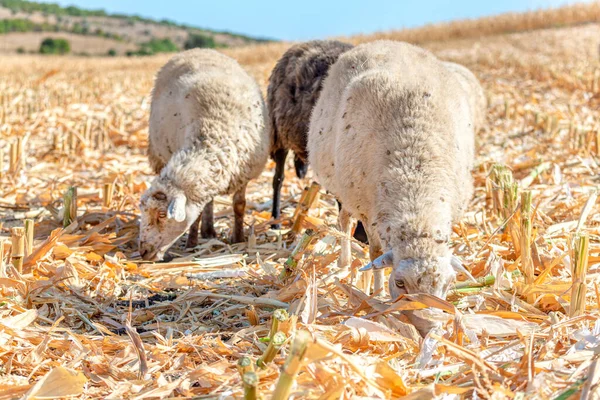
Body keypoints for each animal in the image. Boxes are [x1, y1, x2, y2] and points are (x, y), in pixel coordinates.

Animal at [138, 48, 270, 260]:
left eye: (161, 215)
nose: (143, 251)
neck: (212, 131)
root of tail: (197, 50)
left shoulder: (244, 173)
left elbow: (239, 205)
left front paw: (238, 238)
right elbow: (197, 214)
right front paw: (192, 243)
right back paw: (207, 231)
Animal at [310, 40, 482, 332]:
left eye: (448, 283)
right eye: (400, 283)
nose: (430, 326)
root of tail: (386, 42)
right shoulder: (367, 208)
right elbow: (376, 252)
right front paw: (377, 293)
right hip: (343, 190)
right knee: (343, 222)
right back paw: (344, 261)